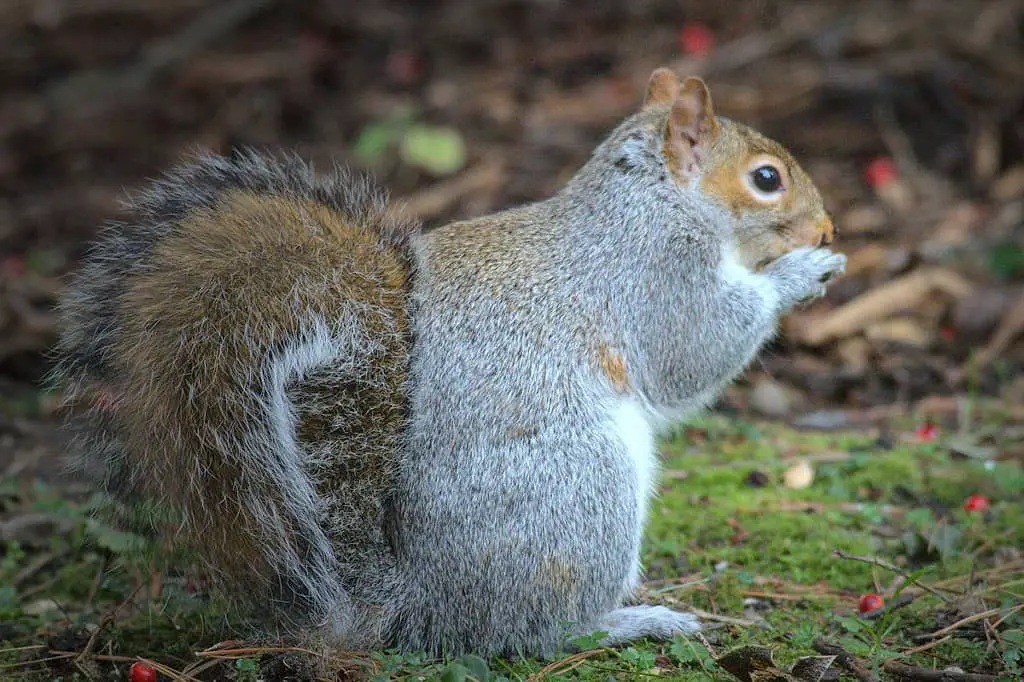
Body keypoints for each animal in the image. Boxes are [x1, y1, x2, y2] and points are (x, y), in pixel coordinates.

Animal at [51, 67, 843, 655]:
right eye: (766, 178)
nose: (830, 227)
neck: (650, 200)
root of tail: (415, 606)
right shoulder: (654, 274)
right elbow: (693, 349)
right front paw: (801, 273)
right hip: (581, 493)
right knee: (532, 631)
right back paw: (628, 621)